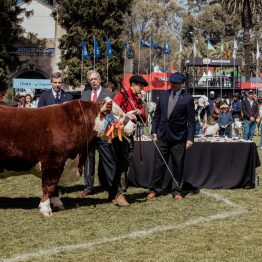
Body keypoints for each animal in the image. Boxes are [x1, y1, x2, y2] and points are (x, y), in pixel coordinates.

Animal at [0, 97, 135, 216]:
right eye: (117, 114)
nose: (134, 126)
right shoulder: (52, 162)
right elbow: (50, 185)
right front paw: (45, 209)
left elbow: (55, 187)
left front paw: (58, 204)